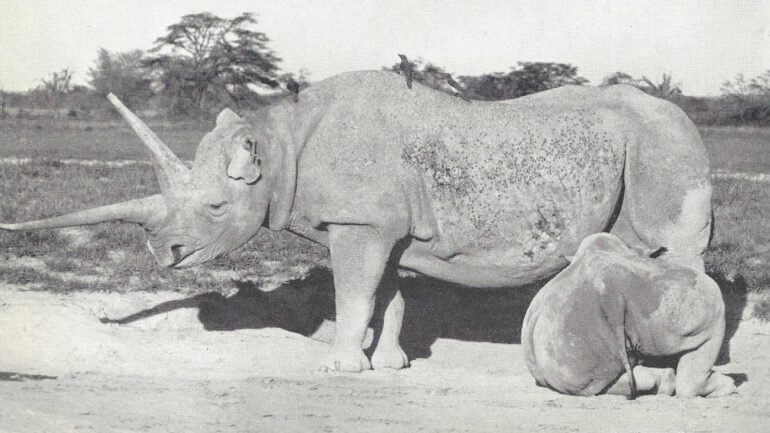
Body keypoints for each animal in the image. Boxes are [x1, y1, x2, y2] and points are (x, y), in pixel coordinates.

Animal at [0, 70, 713, 372]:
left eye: (215, 208)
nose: (164, 254)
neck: (280, 146)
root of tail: (687, 118)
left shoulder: (359, 225)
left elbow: (354, 294)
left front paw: (340, 369)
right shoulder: (380, 226)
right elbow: (387, 295)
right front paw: (391, 365)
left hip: (665, 143)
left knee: (676, 256)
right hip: (647, 145)